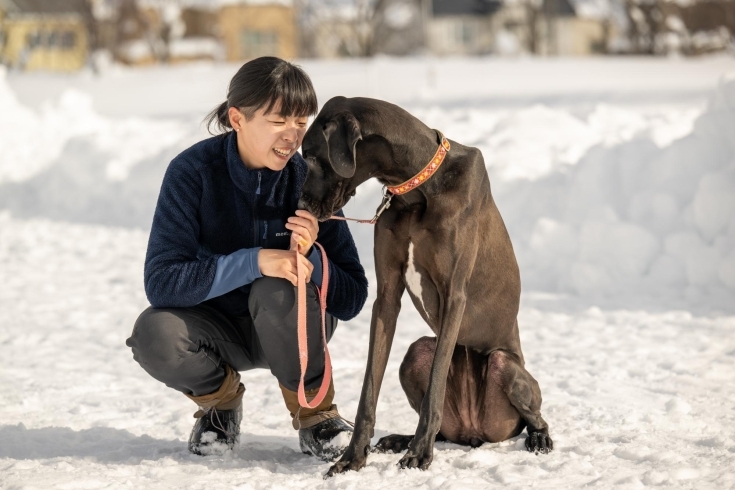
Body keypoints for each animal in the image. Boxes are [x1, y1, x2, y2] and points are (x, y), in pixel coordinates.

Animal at [298, 95, 552, 474]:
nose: (301, 204)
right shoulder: (387, 296)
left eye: (313, 157)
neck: (415, 189)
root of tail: (474, 433)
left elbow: (435, 388)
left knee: (535, 415)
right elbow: (368, 390)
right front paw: (353, 457)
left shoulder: (454, 296)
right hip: (414, 356)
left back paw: (538, 438)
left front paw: (419, 453)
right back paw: (399, 439)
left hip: (505, 368)